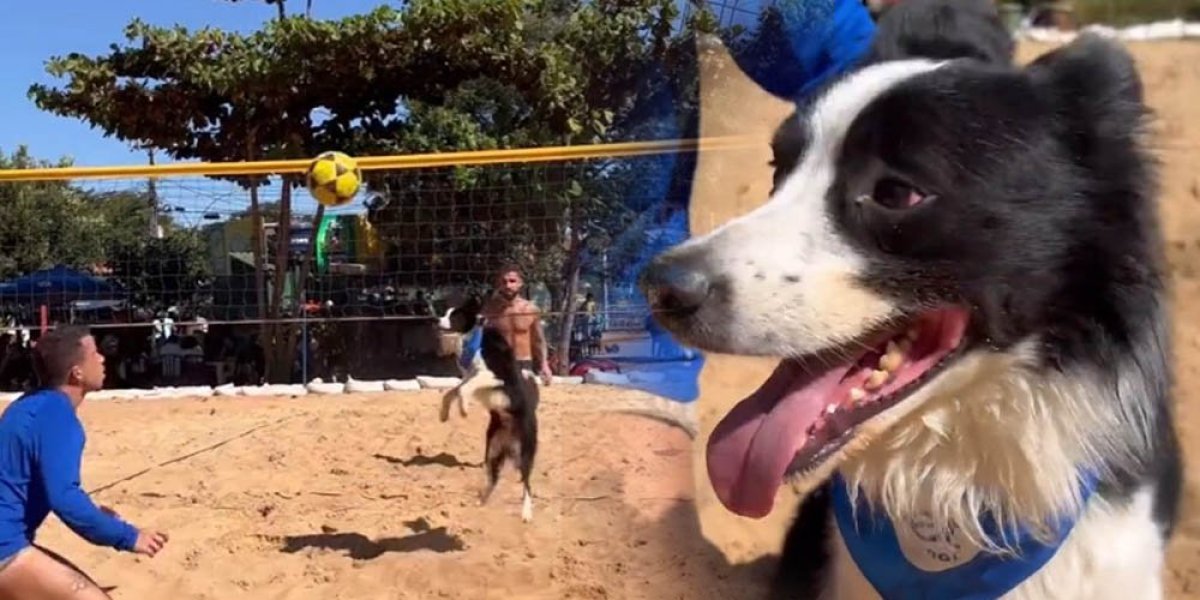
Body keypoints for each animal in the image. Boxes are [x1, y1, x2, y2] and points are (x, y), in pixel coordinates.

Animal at [436, 295, 540, 520]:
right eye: (445, 313)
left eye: (454, 315)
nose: (436, 321)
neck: (475, 340)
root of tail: (509, 441)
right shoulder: (469, 375)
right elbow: (453, 391)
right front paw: (444, 413)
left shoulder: (492, 376)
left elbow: (464, 389)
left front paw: (463, 408)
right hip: (492, 452)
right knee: (494, 478)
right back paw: (482, 500)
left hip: (524, 452)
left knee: (527, 484)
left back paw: (526, 512)